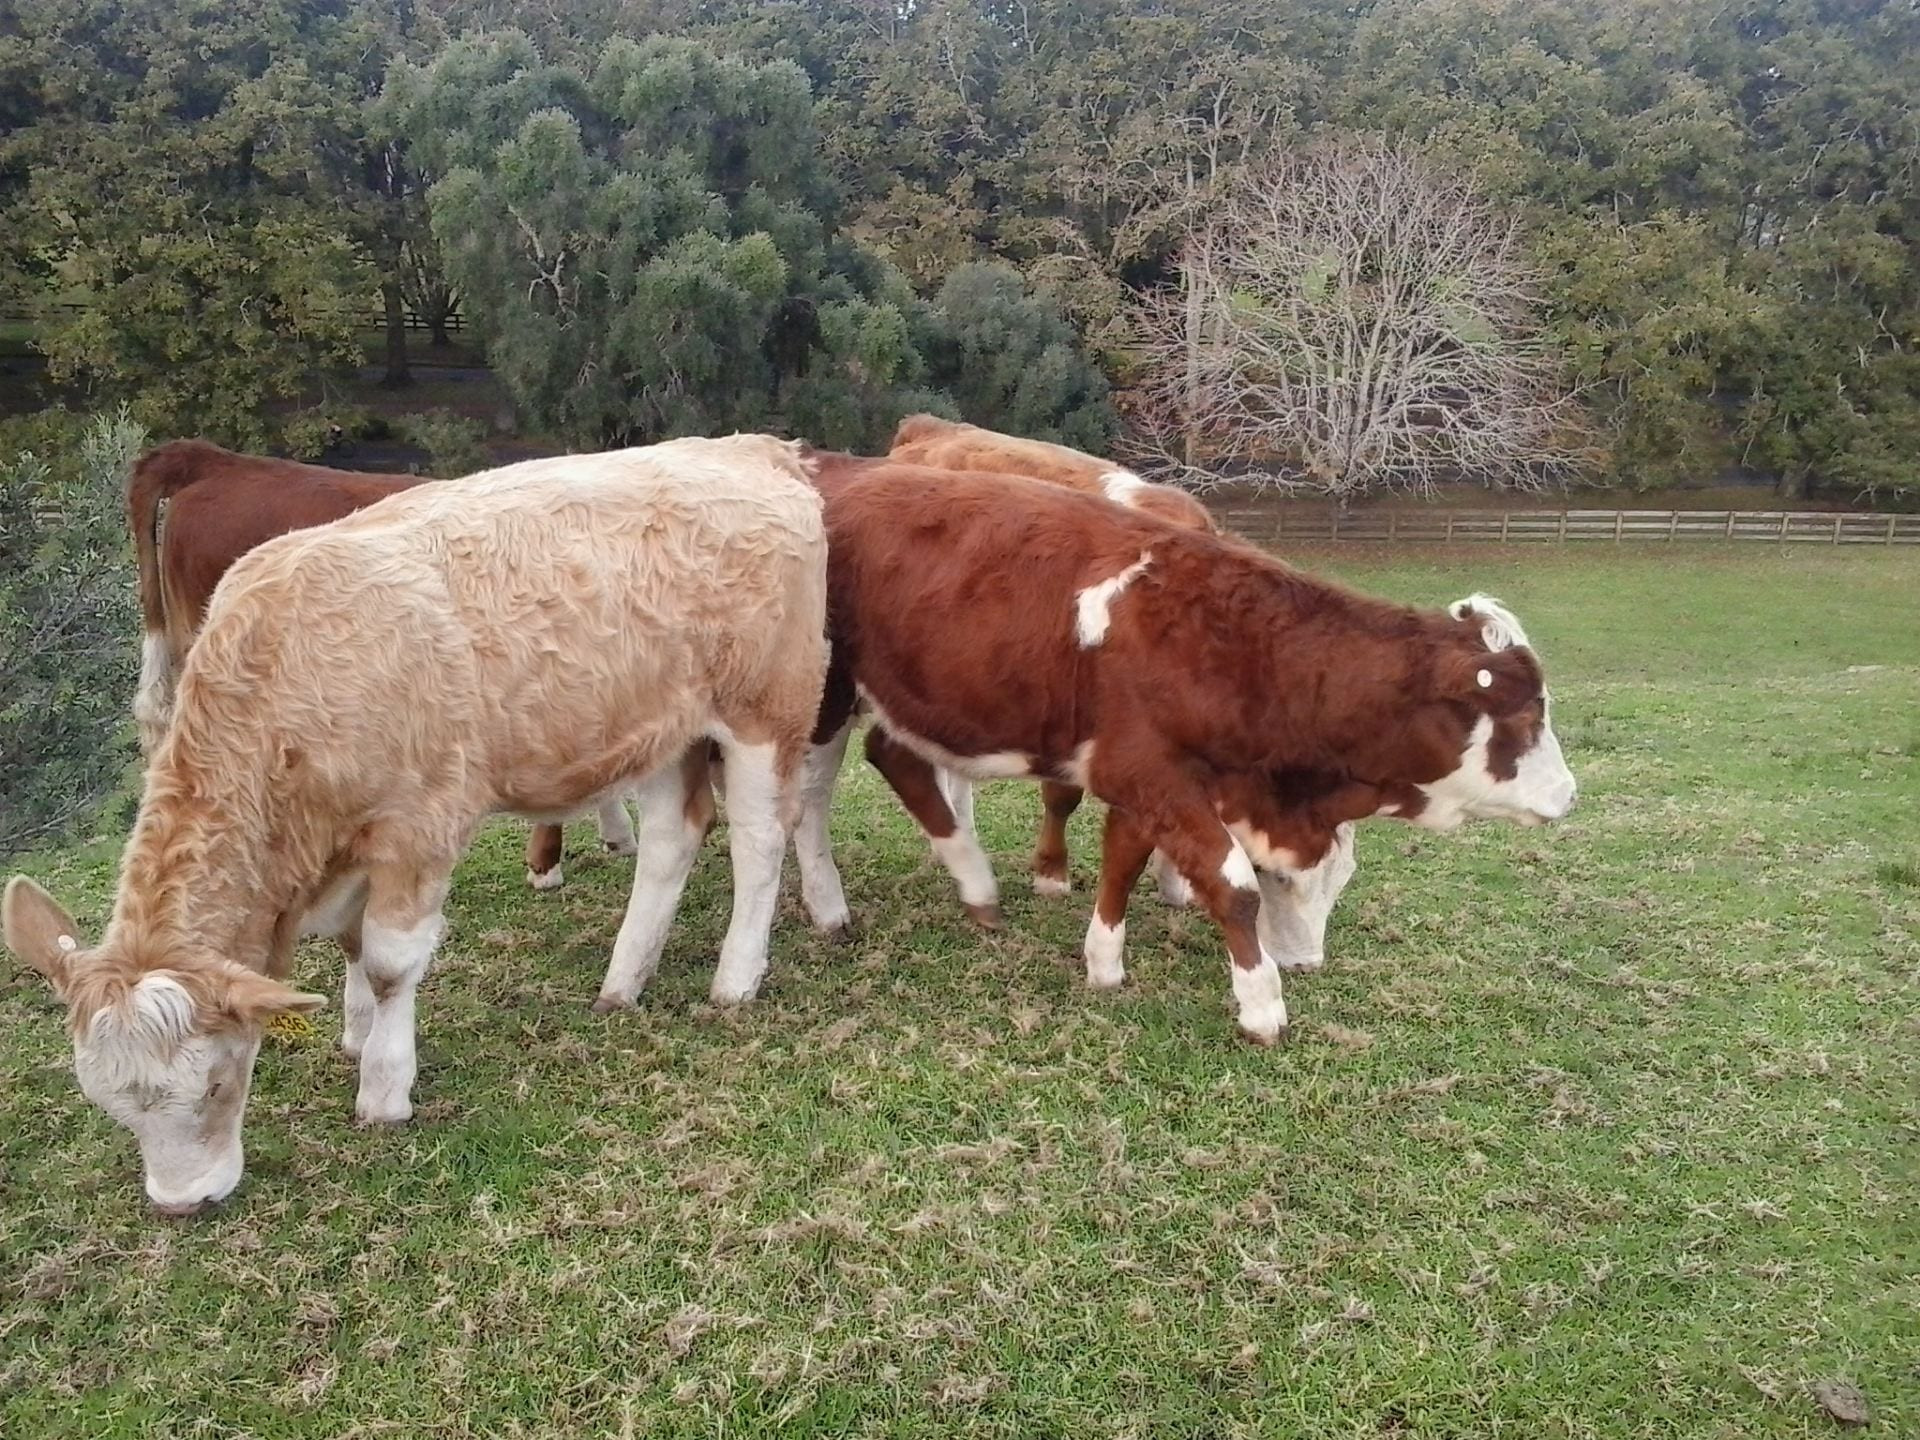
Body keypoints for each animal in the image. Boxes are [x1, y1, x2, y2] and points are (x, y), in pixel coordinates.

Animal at [1, 437, 825, 1221]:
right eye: (108, 1105)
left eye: (217, 1082)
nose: (181, 1204)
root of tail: (749, 447)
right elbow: (351, 944)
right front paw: (355, 1032)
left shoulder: (419, 825)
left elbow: (391, 963)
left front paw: (384, 1087)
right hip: (658, 727)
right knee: (671, 838)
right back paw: (623, 980)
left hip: (764, 710)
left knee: (759, 838)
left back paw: (735, 977)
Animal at [802, 456, 1566, 1044]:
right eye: (1526, 713)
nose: (1568, 794)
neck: (1237, 645)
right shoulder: (1146, 771)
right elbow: (1229, 885)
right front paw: (1261, 1006)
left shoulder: (1147, 777)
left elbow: (1125, 857)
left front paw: (1103, 962)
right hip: (823, 698)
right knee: (809, 801)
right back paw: (830, 906)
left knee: (895, 757)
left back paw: (975, 883)